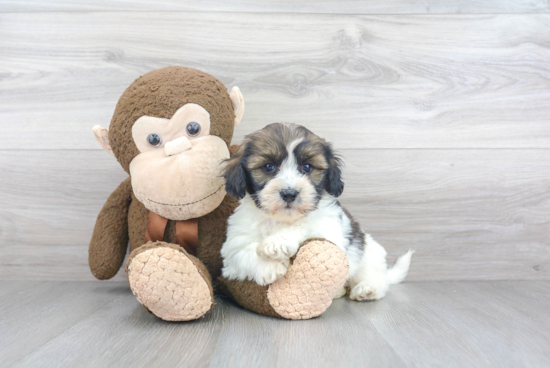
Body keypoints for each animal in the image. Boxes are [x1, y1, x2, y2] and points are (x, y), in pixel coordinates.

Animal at [220, 122, 414, 300]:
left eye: (307, 167)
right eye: (268, 166)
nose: (289, 193)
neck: (282, 219)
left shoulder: (329, 231)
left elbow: (305, 225)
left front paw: (277, 242)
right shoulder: (232, 246)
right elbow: (242, 251)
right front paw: (269, 267)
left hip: (367, 253)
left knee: (376, 278)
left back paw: (367, 289)